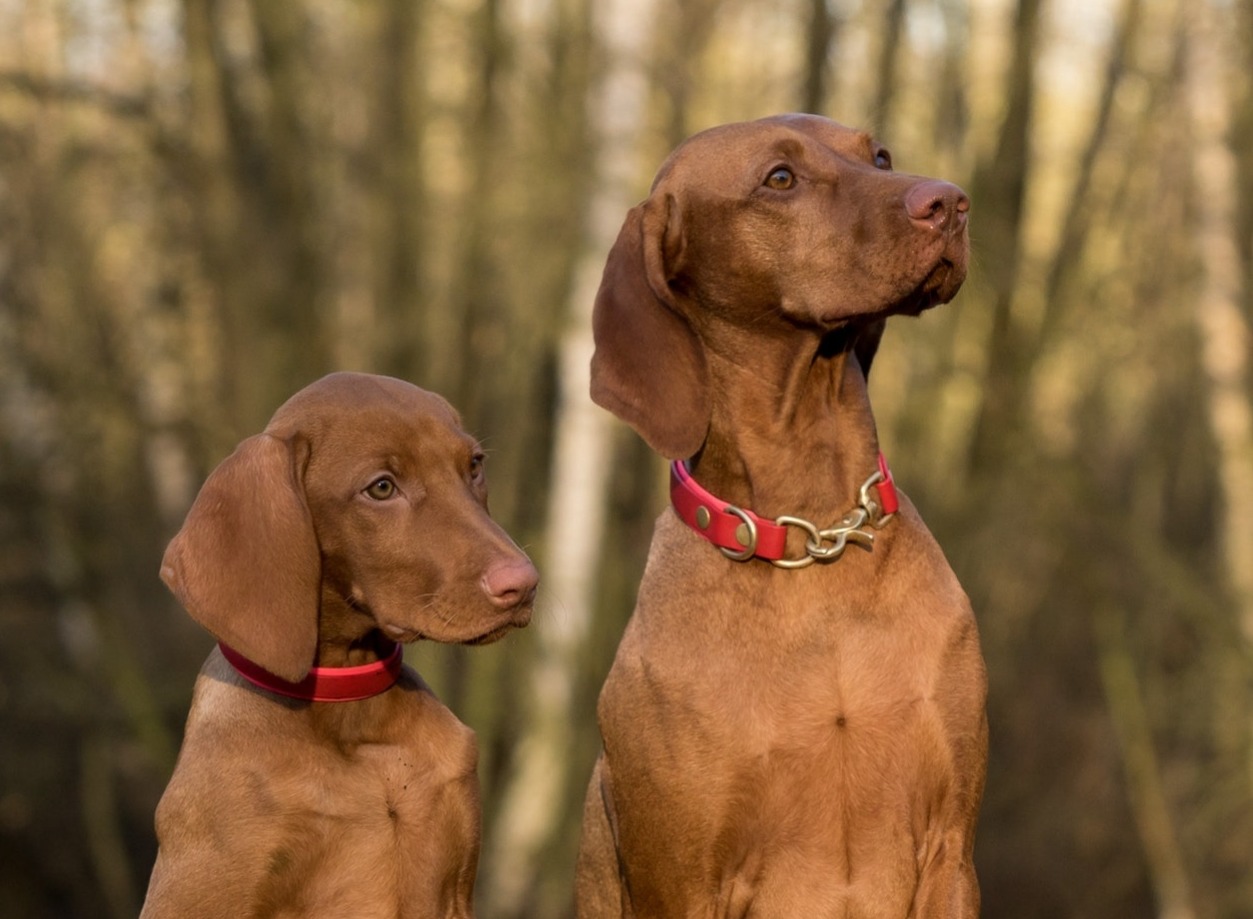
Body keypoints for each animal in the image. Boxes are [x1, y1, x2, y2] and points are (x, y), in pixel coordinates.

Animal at [573, 114, 987, 917]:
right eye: (780, 179)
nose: (950, 202)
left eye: (879, 155)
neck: (814, 530)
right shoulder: (683, 881)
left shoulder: (950, 848)